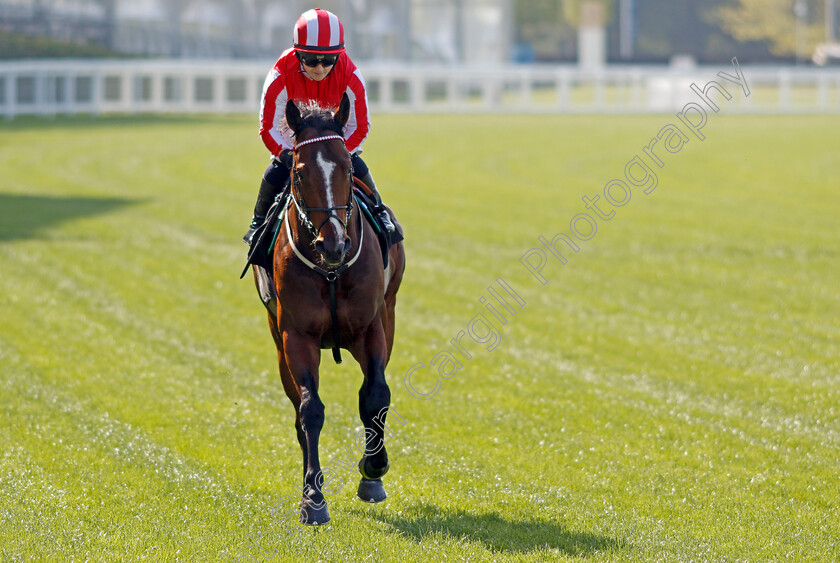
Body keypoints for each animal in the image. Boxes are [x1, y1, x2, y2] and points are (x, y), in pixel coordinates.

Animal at [253, 93, 404, 524]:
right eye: (300, 173)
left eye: (348, 167)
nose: (333, 243)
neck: (332, 270)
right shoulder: (296, 336)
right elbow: (310, 410)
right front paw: (312, 496)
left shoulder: (371, 328)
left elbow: (375, 396)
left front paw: (373, 471)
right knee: (298, 409)